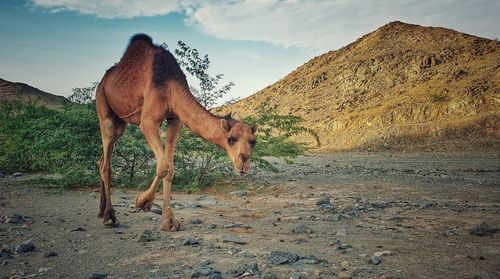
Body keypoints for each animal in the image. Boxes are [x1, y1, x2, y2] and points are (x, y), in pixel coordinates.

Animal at [95, 34, 256, 232]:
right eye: (230, 139)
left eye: (253, 141)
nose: (243, 163)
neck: (169, 85)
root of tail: (103, 81)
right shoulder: (147, 122)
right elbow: (163, 166)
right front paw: (142, 202)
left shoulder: (175, 120)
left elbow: (170, 168)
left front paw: (168, 221)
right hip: (103, 105)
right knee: (106, 162)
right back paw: (110, 215)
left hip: (121, 123)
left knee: (102, 159)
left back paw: (101, 211)